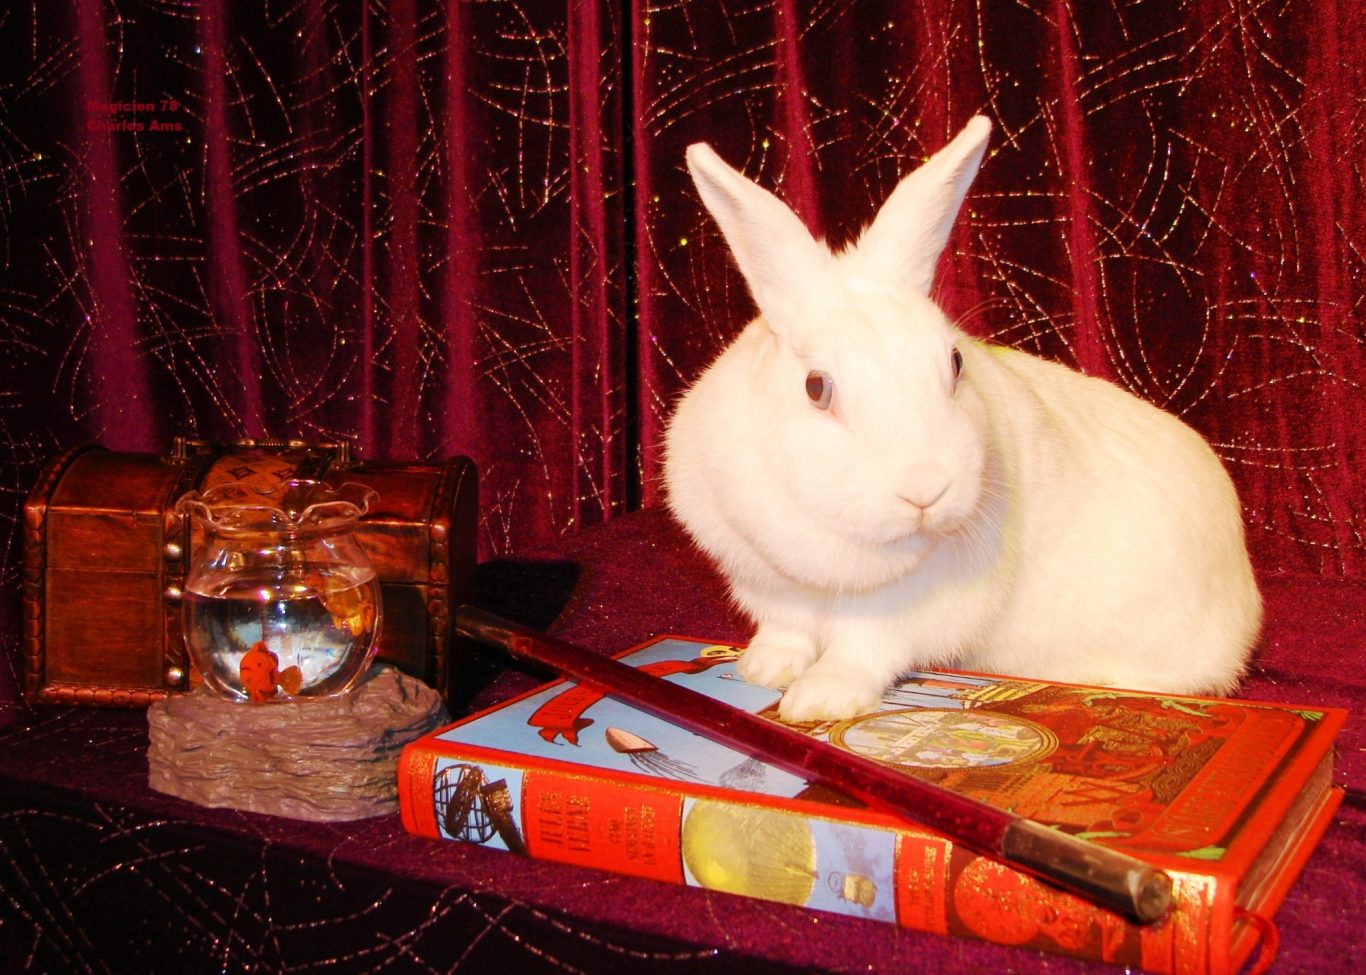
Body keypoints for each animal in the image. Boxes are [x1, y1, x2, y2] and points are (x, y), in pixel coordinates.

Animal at [663, 116, 1263, 723]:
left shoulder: (898, 616)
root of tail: (1245, 589)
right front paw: (761, 669)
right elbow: (784, 632)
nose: (926, 490)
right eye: (816, 388)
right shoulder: (771, 588)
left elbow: (861, 654)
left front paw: (819, 700)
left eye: (954, 364)